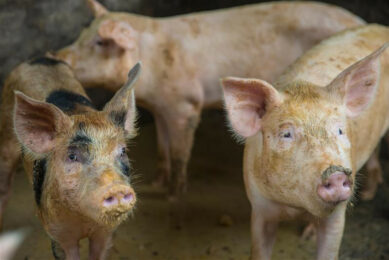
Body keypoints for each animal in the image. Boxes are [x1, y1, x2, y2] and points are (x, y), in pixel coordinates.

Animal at [0, 58, 141, 258]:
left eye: (122, 151)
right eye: (72, 156)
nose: (117, 188)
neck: (84, 220)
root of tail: (38, 59)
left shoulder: (105, 234)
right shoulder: (57, 233)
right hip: (5, 138)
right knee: (4, 190)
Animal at [52, 0, 364, 198]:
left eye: (100, 42)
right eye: (82, 34)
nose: (56, 54)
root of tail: (358, 21)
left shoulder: (186, 105)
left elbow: (180, 152)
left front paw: (174, 195)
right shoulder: (161, 108)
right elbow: (163, 147)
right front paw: (157, 182)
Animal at [221, 23, 388, 258]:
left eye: (339, 130)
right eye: (286, 134)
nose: (336, 172)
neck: (295, 207)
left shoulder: (337, 216)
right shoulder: (259, 208)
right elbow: (259, 249)